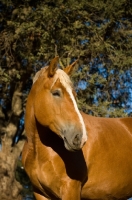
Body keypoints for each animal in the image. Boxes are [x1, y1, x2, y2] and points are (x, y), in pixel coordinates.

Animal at [21, 56, 132, 200]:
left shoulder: (70, 189)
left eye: (75, 95)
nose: (80, 138)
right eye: (56, 93)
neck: (39, 152)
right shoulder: (40, 193)